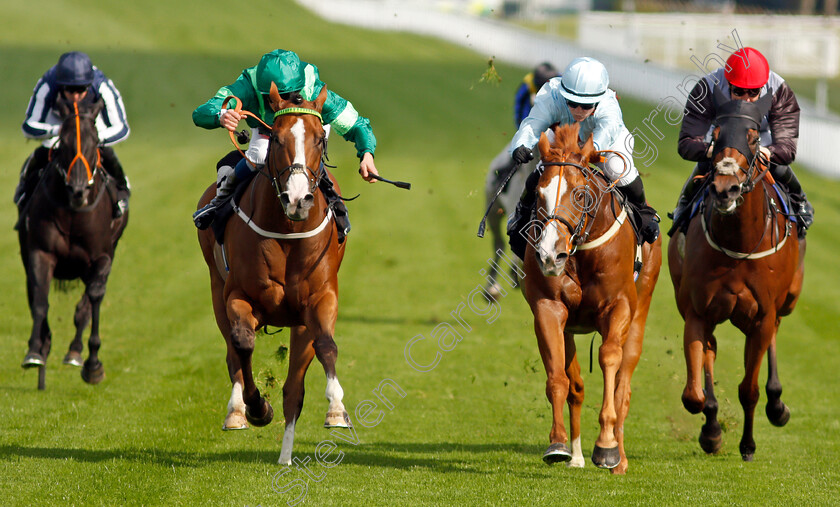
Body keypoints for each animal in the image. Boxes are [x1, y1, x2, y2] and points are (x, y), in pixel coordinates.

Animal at [18, 94, 129, 388]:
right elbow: (40, 298)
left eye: (94, 141)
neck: (73, 213)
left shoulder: (102, 257)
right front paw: (35, 351)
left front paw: (91, 363)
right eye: (64, 143)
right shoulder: (40, 252)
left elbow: (92, 300)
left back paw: (76, 353)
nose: (78, 190)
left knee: (87, 303)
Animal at [197, 82, 352, 464]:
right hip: (216, 289)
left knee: (293, 389)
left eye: (320, 139)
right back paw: (237, 411)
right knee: (233, 351)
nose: (297, 198)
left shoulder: (320, 300)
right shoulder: (238, 296)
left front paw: (336, 409)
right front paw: (255, 408)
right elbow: (242, 343)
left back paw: (285, 456)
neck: (287, 230)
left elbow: (326, 346)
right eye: (277, 138)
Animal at [520, 123, 664, 476]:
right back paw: (576, 455)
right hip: (572, 329)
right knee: (576, 386)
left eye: (580, 194)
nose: (550, 254)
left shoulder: (619, 306)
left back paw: (619, 458)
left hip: (642, 306)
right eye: (539, 194)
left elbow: (609, 358)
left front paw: (607, 447)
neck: (581, 252)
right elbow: (558, 379)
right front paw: (558, 444)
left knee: (624, 381)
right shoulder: (548, 310)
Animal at [668, 90, 808, 460]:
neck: (739, 244)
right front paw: (712, 432)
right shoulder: (698, 312)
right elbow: (694, 394)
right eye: (715, 137)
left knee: (775, 332)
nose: (725, 189)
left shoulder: (761, 315)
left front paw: (748, 445)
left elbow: (749, 389)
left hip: (787, 300)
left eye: (754, 137)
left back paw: (777, 405)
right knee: (712, 352)